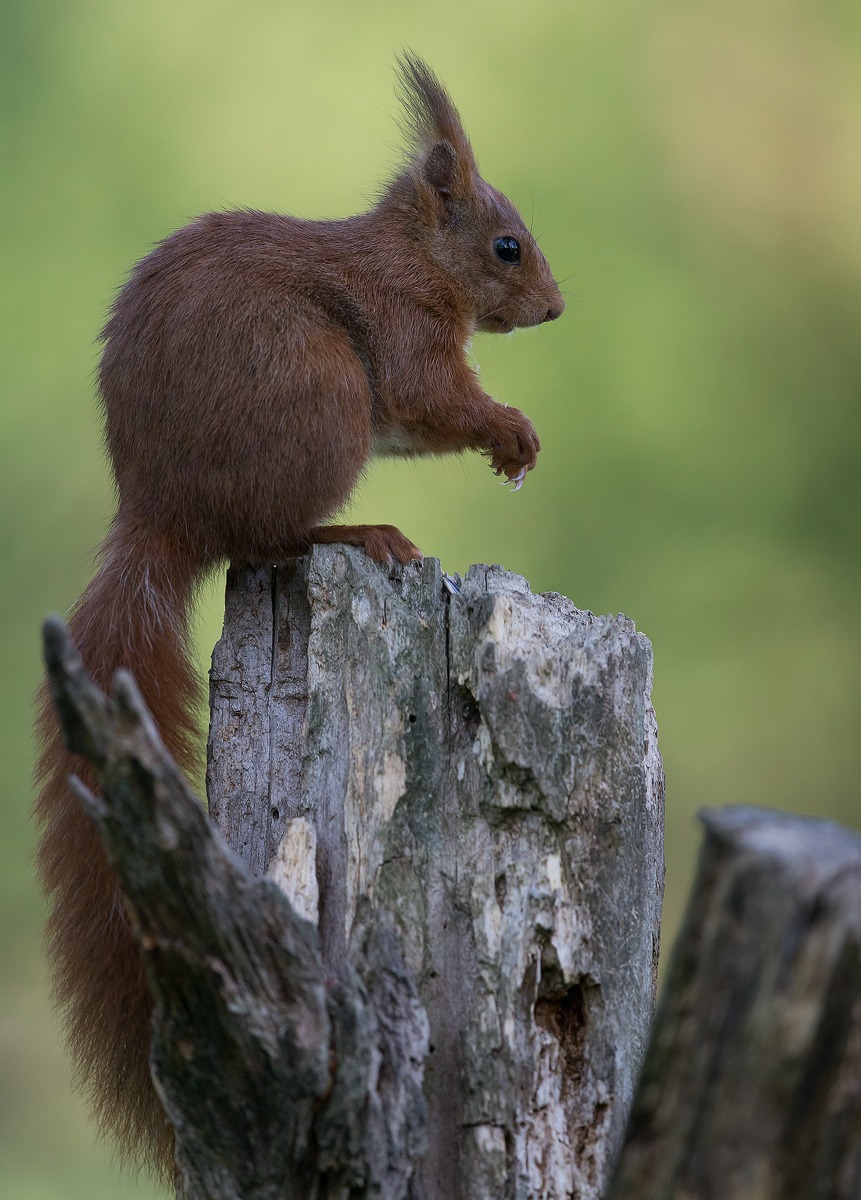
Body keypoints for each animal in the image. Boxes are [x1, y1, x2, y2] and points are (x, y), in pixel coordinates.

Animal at [34, 52, 564, 1182]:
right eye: (506, 245)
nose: (552, 309)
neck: (413, 256)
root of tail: (161, 512)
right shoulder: (403, 331)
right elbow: (430, 396)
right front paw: (509, 429)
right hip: (318, 400)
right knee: (268, 542)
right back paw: (357, 534)